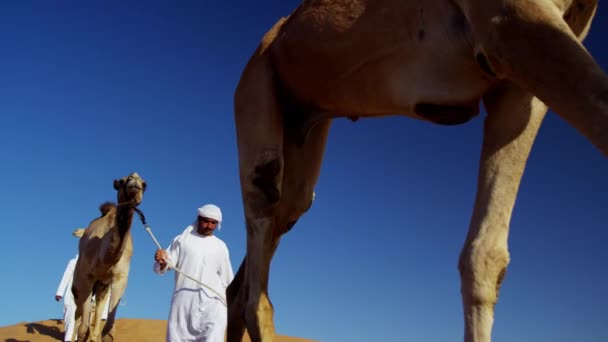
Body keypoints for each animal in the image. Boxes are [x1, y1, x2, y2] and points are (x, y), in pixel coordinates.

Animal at [70, 174, 146, 342]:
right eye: (122, 181)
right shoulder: (87, 277)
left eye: (144, 184)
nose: (134, 180)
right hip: (77, 285)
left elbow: (108, 332)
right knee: (77, 315)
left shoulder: (120, 276)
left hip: (102, 287)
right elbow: (83, 329)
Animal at [229, 0, 608, 342]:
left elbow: (486, 254)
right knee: (257, 265)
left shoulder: (519, 89)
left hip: (302, 132)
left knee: (261, 253)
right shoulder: (507, 23)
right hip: (256, 88)